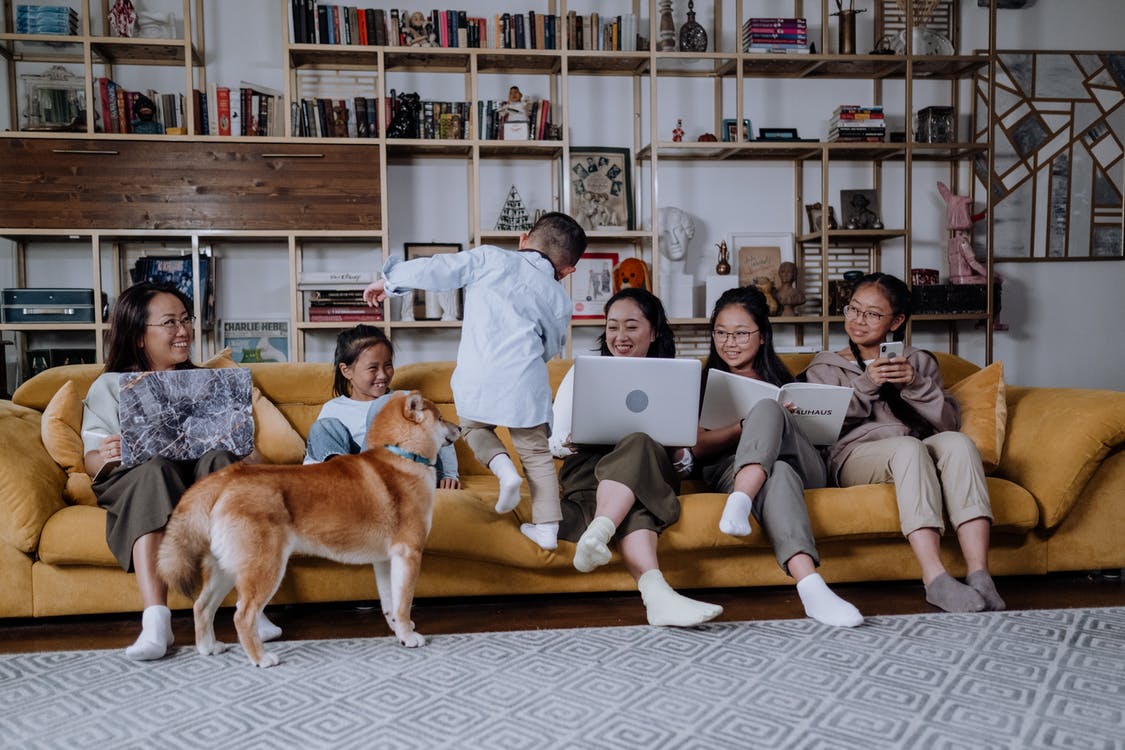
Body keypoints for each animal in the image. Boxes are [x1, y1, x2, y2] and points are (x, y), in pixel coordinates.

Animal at [157, 391, 456, 665]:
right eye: (441, 418)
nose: (459, 428)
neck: (402, 454)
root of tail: (225, 479)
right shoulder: (408, 553)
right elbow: (403, 603)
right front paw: (410, 636)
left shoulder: (385, 560)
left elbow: (390, 603)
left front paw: (399, 633)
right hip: (265, 567)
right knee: (242, 615)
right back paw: (261, 658)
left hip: (225, 568)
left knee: (202, 606)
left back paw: (209, 648)